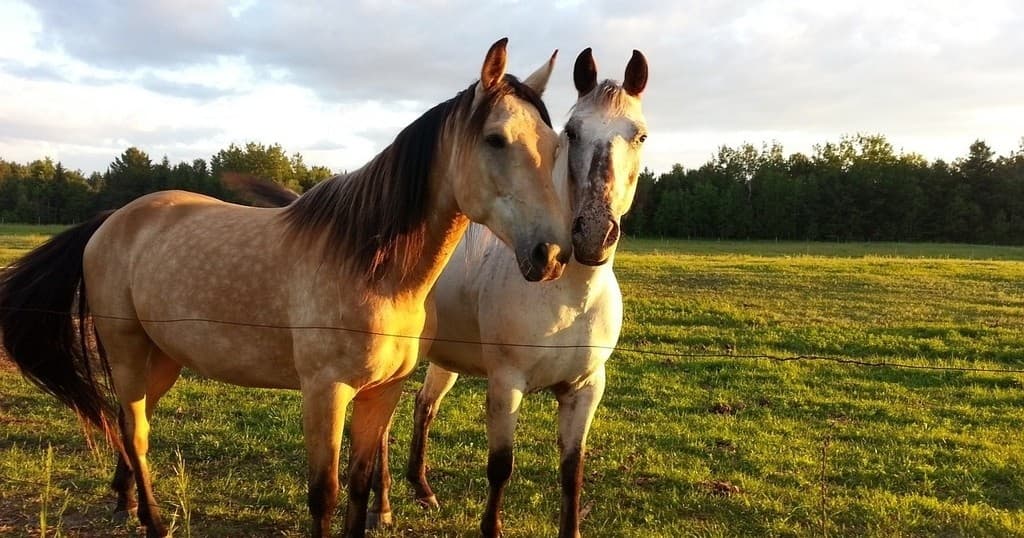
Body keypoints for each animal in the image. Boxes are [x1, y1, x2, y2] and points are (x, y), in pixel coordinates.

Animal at [0, 38, 572, 538]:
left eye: (554, 146)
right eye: (496, 139)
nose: (551, 254)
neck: (373, 268)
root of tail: (111, 221)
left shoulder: (381, 392)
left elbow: (359, 488)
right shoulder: (325, 391)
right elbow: (325, 494)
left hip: (159, 360)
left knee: (125, 424)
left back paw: (128, 506)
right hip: (126, 352)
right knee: (137, 435)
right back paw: (155, 524)